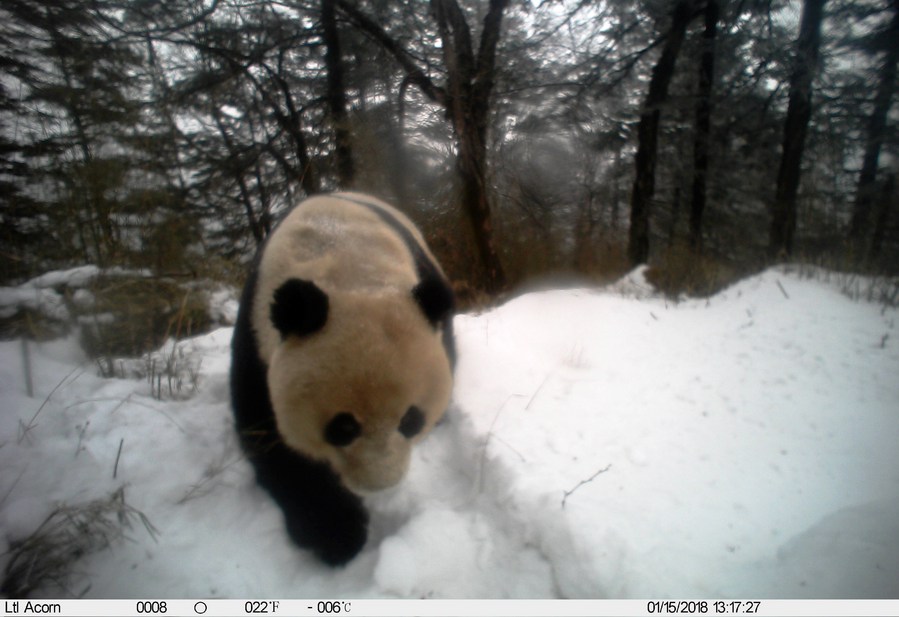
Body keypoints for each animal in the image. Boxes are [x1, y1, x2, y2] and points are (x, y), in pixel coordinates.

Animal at [232, 190, 458, 564]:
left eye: (410, 420)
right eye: (343, 426)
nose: (380, 484)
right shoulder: (256, 334)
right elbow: (268, 434)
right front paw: (337, 533)